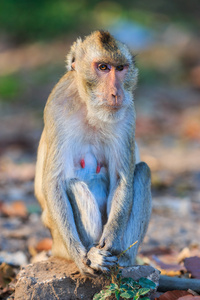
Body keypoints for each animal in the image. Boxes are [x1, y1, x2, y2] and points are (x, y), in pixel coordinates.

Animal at [34, 30, 152, 276]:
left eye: (120, 68)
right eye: (103, 67)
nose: (116, 93)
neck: (90, 108)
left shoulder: (128, 113)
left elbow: (121, 177)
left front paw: (111, 241)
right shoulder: (57, 108)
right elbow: (55, 181)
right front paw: (82, 259)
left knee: (143, 171)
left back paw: (123, 259)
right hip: (59, 244)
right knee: (72, 184)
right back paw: (93, 255)